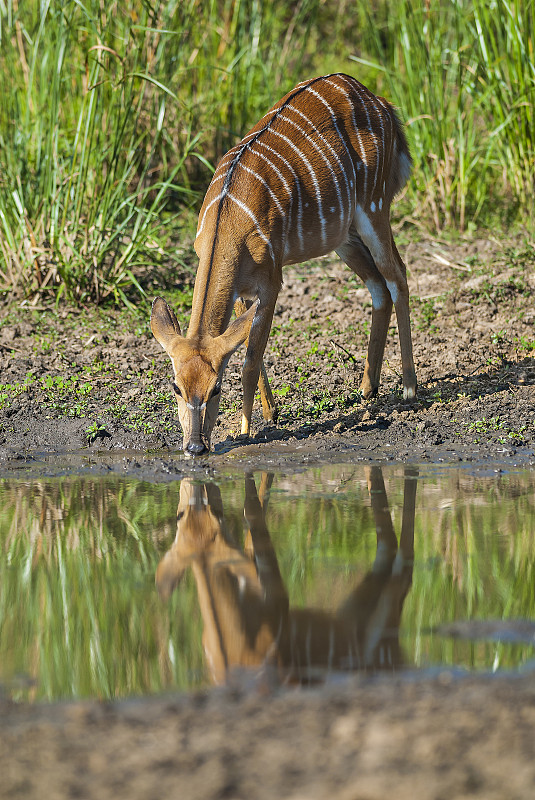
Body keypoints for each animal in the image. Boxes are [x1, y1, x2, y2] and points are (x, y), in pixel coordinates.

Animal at [152, 74, 418, 454]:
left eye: (216, 388)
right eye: (176, 387)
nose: (195, 447)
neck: (227, 221)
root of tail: (380, 102)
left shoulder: (271, 281)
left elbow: (250, 359)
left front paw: (246, 429)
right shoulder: (242, 290)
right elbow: (250, 347)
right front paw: (271, 412)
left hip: (375, 207)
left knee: (398, 276)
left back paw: (410, 388)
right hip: (344, 235)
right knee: (378, 285)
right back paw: (368, 388)